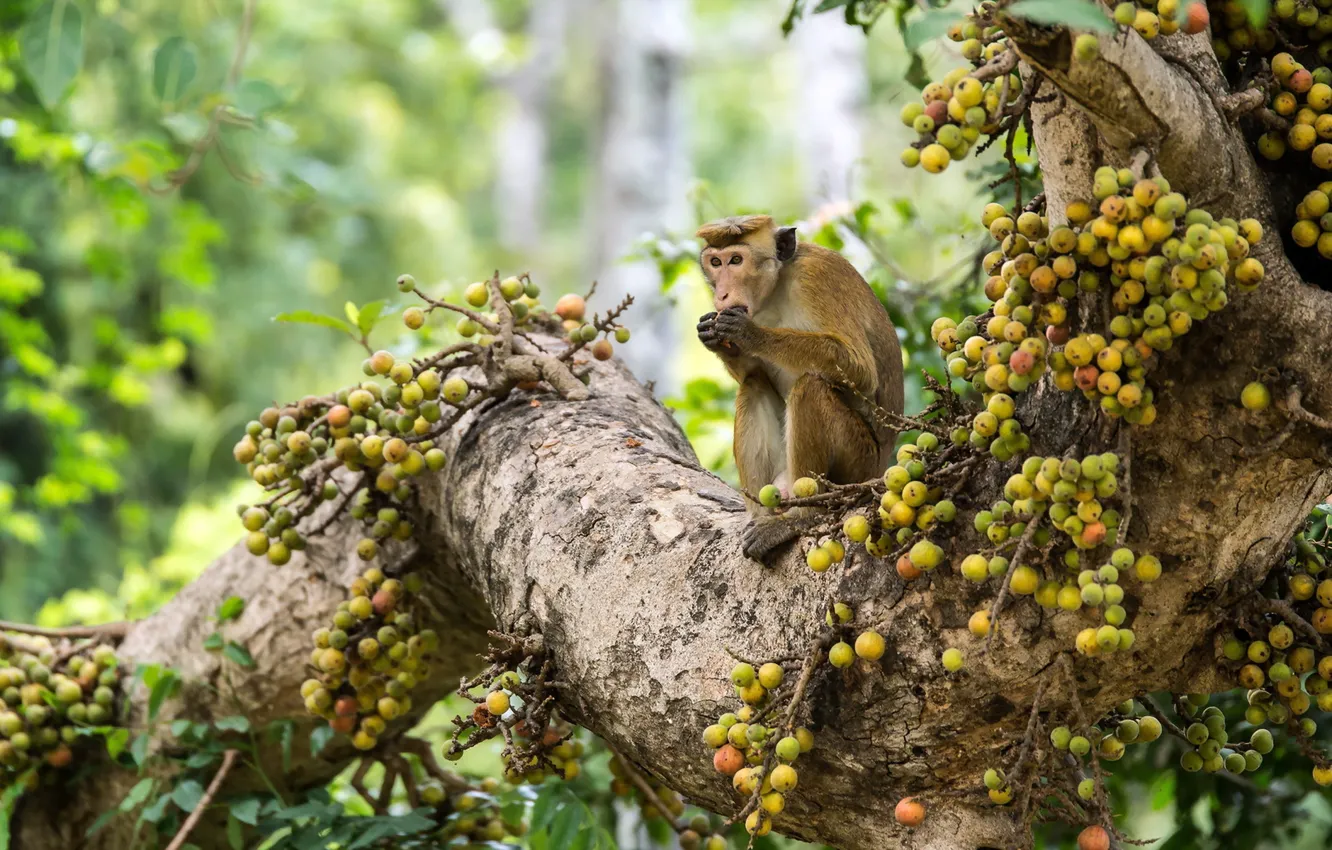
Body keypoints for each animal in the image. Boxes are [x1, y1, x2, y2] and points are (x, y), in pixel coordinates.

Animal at [694, 214, 904, 561]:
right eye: (715, 262)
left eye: (736, 260)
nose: (721, 296)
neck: (777, 286)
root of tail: (879, 468)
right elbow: (752, 373)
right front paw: (714, 337)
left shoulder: (816, 279)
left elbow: (860, 369)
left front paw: (750, 334)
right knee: (753, 386)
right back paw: (761, 515)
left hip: (858, 463)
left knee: (811, 388)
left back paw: (801, 518)